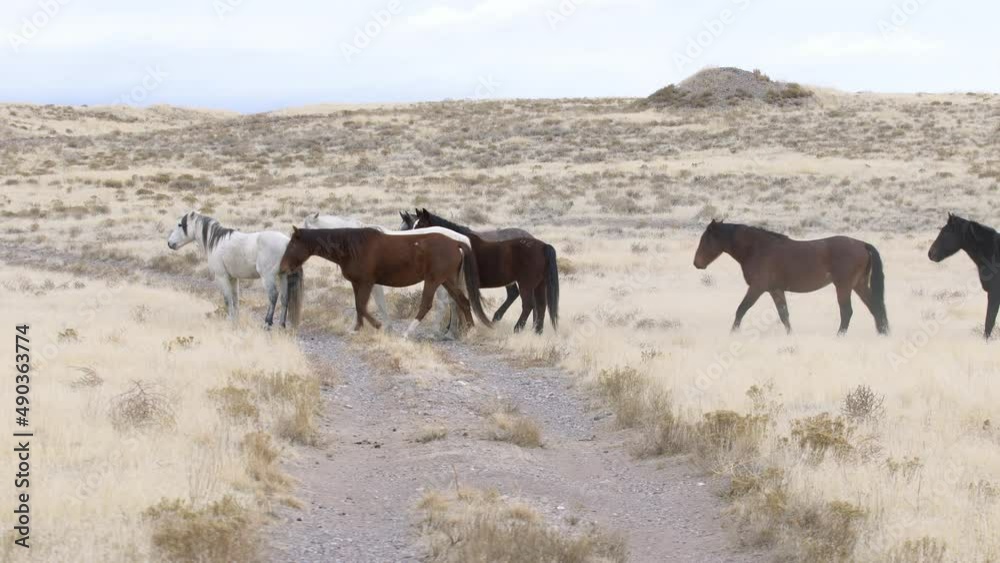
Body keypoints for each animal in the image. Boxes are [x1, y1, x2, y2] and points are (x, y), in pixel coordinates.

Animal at [167, 211, 304, 328]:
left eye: (180, 224)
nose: (169, 243)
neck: (215, 242)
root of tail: (287, 242)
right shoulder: (233, 278)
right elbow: (235, 298)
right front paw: (235, 320)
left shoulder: (222, 277)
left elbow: (227, 299)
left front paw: (229, 319)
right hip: (283, 275)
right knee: (285, 298)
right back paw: (282, 325)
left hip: (268, 277)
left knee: (273, 296)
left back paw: (267, 323)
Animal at [278, 227, 492, 338]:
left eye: (293, 243)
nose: (282, 267)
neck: (353, 247)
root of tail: (455, 242)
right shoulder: (357, 283)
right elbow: (358, 306)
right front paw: (356, 329)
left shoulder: (367, 282)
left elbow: (361, 306)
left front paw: (378, 325)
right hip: (447, 280)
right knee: (463, 301)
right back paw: (471, 330)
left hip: (433, 280)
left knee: (426, 305)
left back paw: (407, 333)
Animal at [406, 208, 559, 334]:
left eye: (421, 225)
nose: (412, 243)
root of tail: (543, 246)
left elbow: (457, 303)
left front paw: (457, 328)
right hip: (538, 284)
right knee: (540, 305)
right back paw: (536, 331)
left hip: (526, 284)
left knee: (528, 305)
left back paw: (516, 328)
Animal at [693, 219, 889, 335]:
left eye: (706, 240)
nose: (697, 263)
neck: (757, 249)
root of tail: (862, 245)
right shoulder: (775, 290)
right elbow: (784, 315)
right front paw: (790, 335)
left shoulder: (757, 288)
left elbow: (741, 309)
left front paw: (732, 334)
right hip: (859, 285)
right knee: (875, 308)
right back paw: (882, 333)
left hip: (844, 286)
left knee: (847, 312)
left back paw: (839, 336)